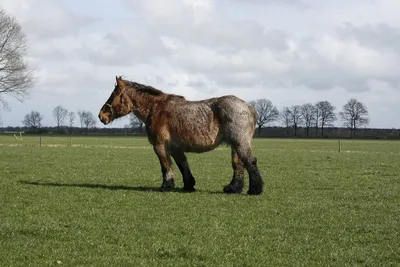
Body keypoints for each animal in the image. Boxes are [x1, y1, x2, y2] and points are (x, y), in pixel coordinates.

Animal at [98, 76, 264, 196]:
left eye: (113, 95)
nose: (101, 115)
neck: (156, 108)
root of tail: (248, 107)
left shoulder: (160, 145)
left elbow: (166, 165)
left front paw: (166, 186)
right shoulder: (176, 148)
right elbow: (183, 165)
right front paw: (189, 185)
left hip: (240, 142)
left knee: (250, 161)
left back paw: (255, 189)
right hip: (235, 144)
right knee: (238, 164)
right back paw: (233, 188)